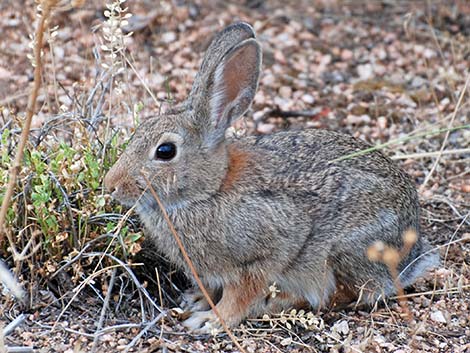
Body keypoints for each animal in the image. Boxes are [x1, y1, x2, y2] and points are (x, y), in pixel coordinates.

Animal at [103, 22, 440, 332]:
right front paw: (198, 299)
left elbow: (240, 294)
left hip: (344, 252)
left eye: (165, 151)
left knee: (344, 295)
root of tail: (410, 257)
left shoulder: (260, 258)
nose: (111, 185)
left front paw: (211, 320)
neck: (209, 190)